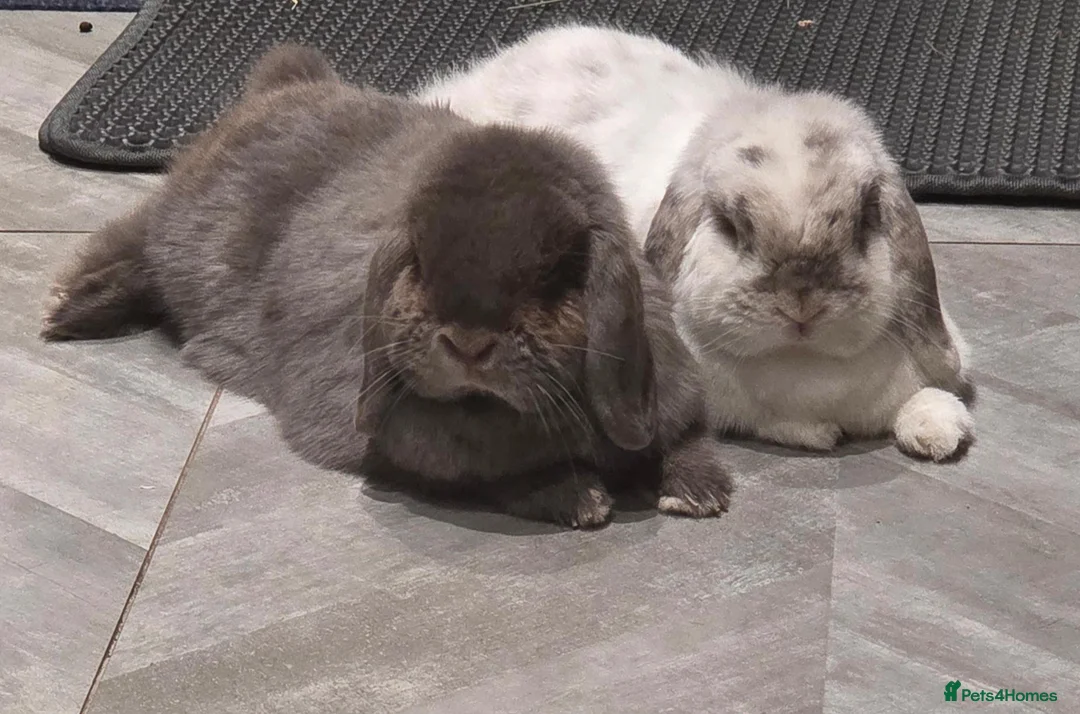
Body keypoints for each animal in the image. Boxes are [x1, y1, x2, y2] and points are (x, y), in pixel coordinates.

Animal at [41, 44, 734, 528]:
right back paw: (70, 307)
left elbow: (689, 439)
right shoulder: (412, 447)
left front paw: (700, 493)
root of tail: (286, 86)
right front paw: (580, 499)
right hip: (182, 229)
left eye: (557, 274)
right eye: (419, 263)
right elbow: (494, 478)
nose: (468, 344)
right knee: (135, 237)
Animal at [420, 25, 975, 462]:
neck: (806, 365)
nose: (802, 305)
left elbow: (926, 400)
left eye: (864, 219)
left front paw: (939, 433)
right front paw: (818, 432)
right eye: (730, 226)